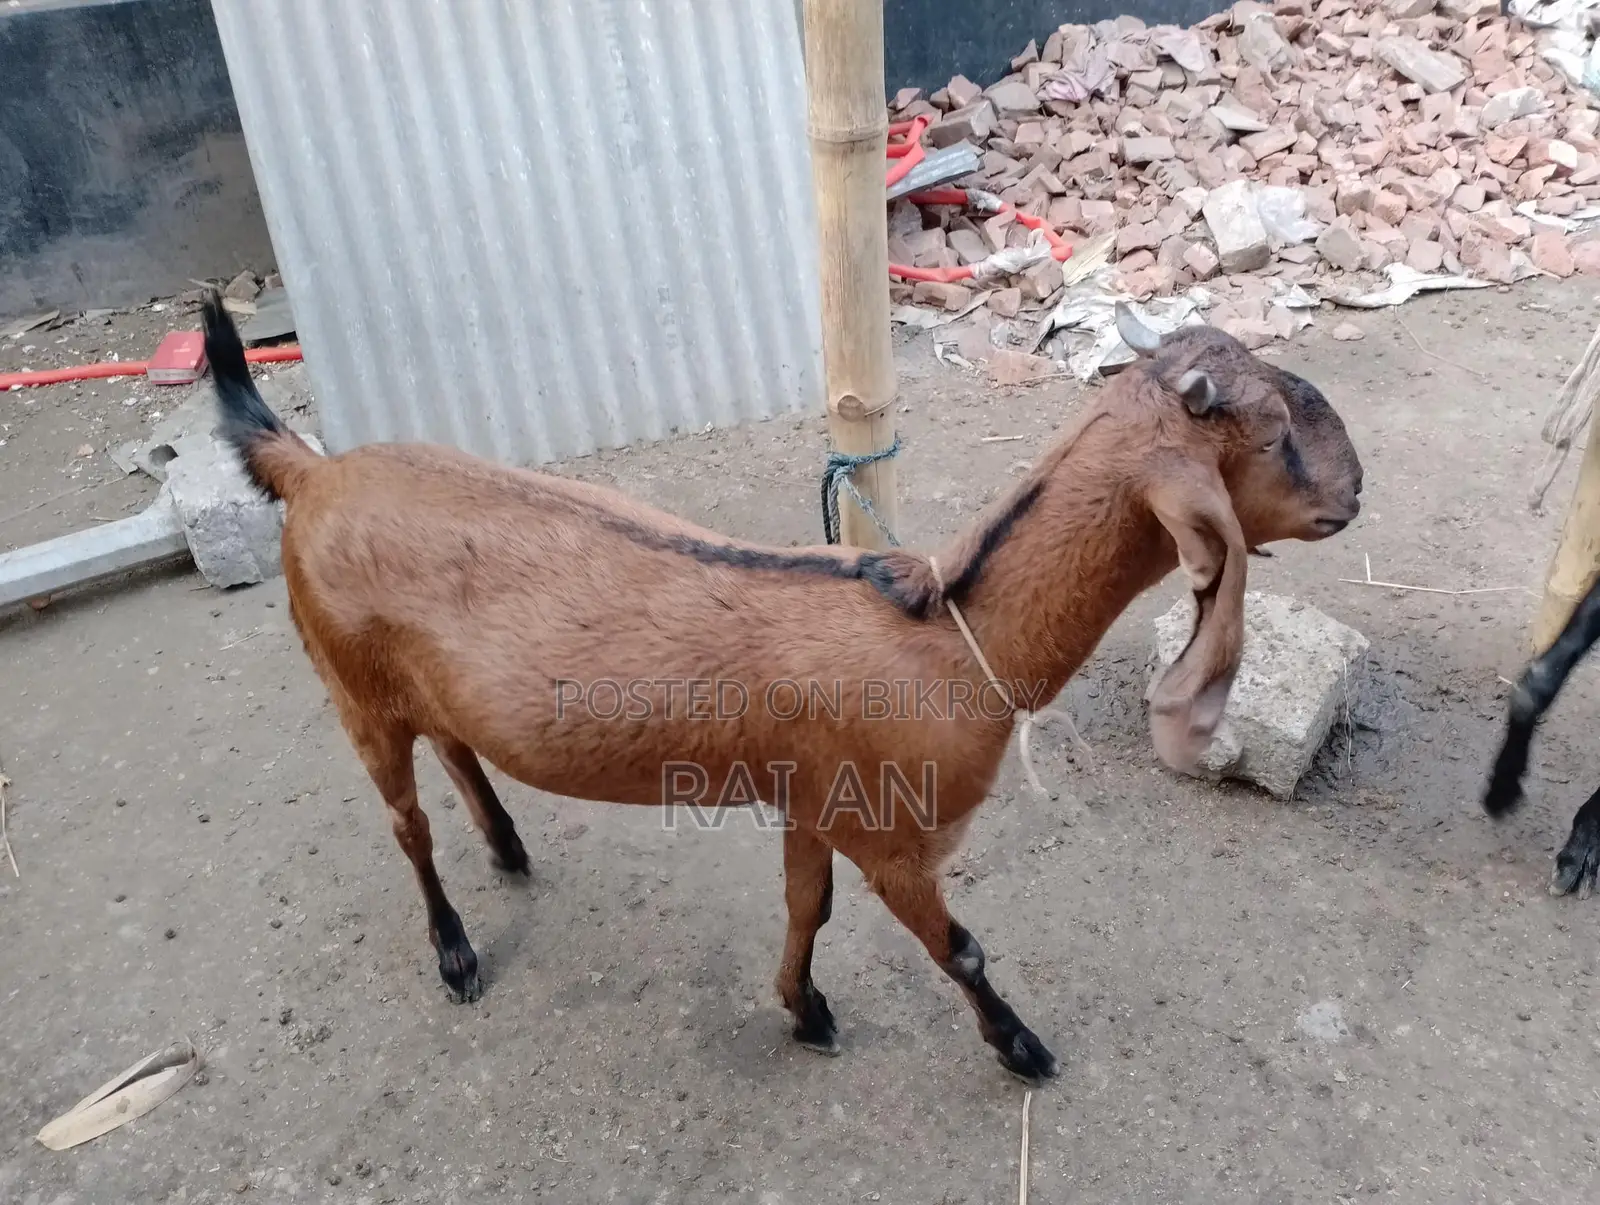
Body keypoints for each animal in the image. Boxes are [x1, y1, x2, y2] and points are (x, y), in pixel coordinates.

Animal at [200, 293, 1362, 1083]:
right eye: (1275, 435)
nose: (1356, 488)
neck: (951, 637)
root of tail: (312, 473)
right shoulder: (892, 832)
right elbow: (961, 946)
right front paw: (1023, 1047)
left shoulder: (813, 802)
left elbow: (810, 905)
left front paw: (802, 1007)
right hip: (348, 681)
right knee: (404, 823)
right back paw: (453, 950)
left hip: (413, 676)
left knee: (453, 744)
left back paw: (509, 845)